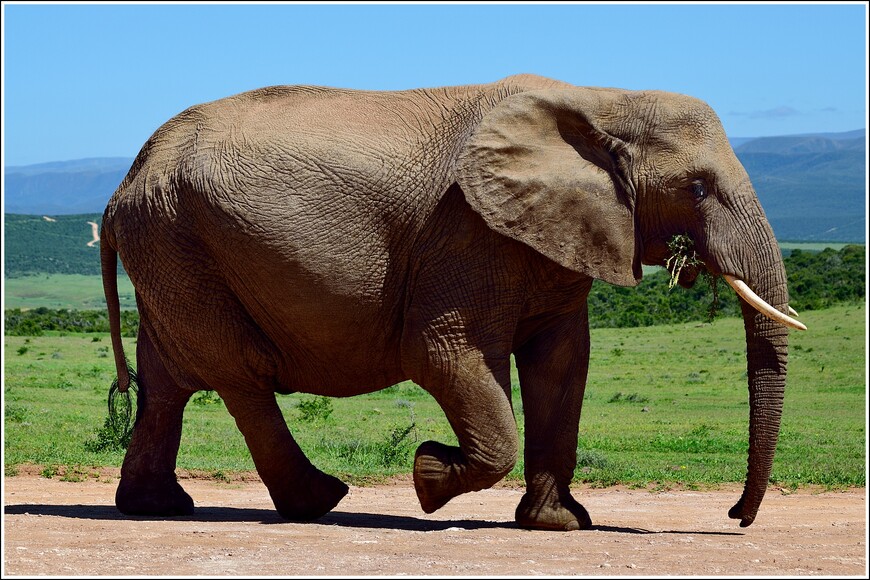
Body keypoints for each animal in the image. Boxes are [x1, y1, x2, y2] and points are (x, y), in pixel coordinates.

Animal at [104, 75, 812, 532]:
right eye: (698, 187)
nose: (734, 516)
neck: (601, 100)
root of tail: (122, 186)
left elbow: (562, 365)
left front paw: (558, 524)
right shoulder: (467, 232)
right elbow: (442, 352)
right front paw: (429, 478)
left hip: (168, 247)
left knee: (167, 381)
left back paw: (156, 507)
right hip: (178, 240)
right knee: (240, 374)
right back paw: (320, 502)